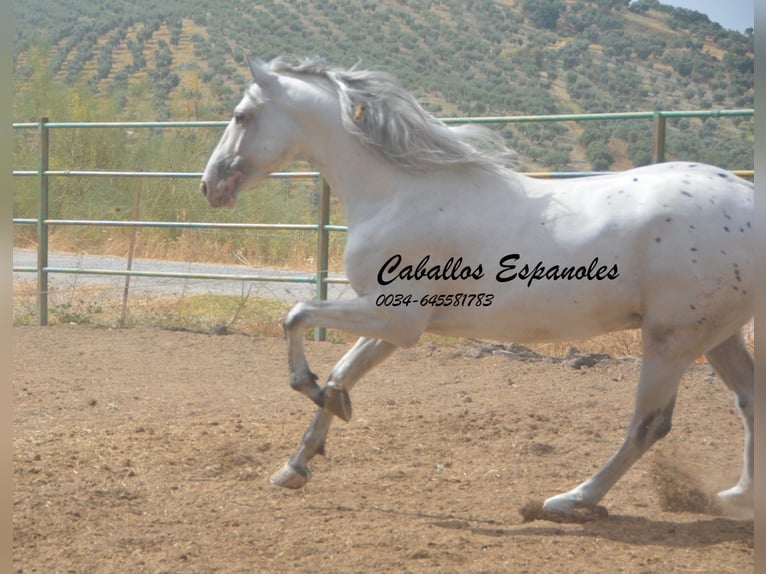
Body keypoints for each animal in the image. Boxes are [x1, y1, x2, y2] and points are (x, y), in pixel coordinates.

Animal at [200, 57, 754, 521]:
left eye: (241, 115)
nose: (210, 186)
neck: (398, 192)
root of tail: (747, 197)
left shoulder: (394, 317)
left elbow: (296, 316)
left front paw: (311, 394)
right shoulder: (394, 323)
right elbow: (341, 373)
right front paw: (296, 464)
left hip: (672, 339)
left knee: (648, 425)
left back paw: (570, 500)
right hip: (717, 335)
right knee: (750, 399)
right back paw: (737, 497)